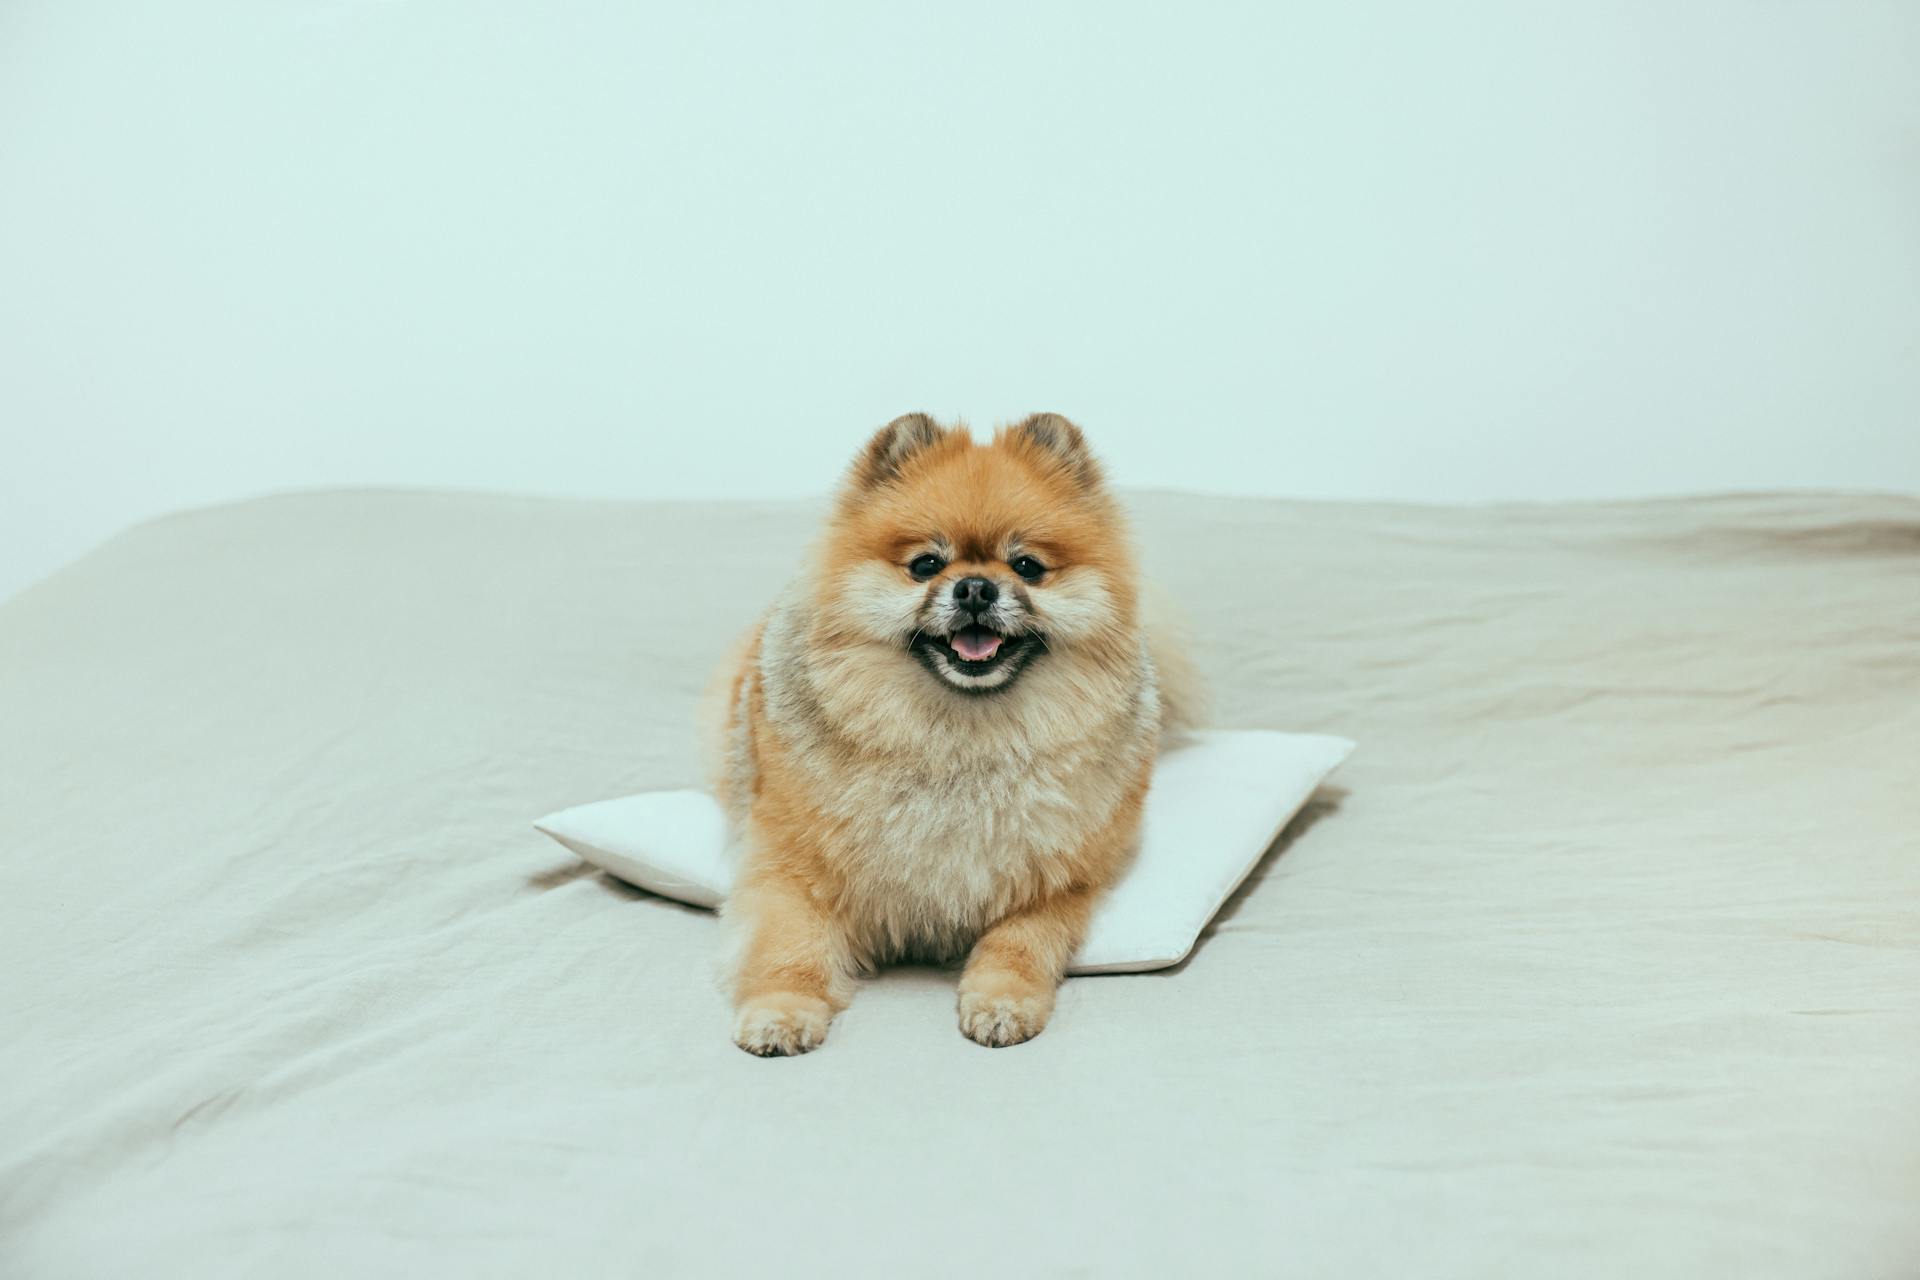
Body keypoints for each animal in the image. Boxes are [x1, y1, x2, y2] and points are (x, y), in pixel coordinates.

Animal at [706, 416, 1190, 1059]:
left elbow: (1020, 942)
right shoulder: (789, 864)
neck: (960, 737)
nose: (976, 588)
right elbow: (788, 945)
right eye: (925, 564)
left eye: (1027, 566)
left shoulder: (1059, 884)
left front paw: (1002, 1001)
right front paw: (781, 1010)